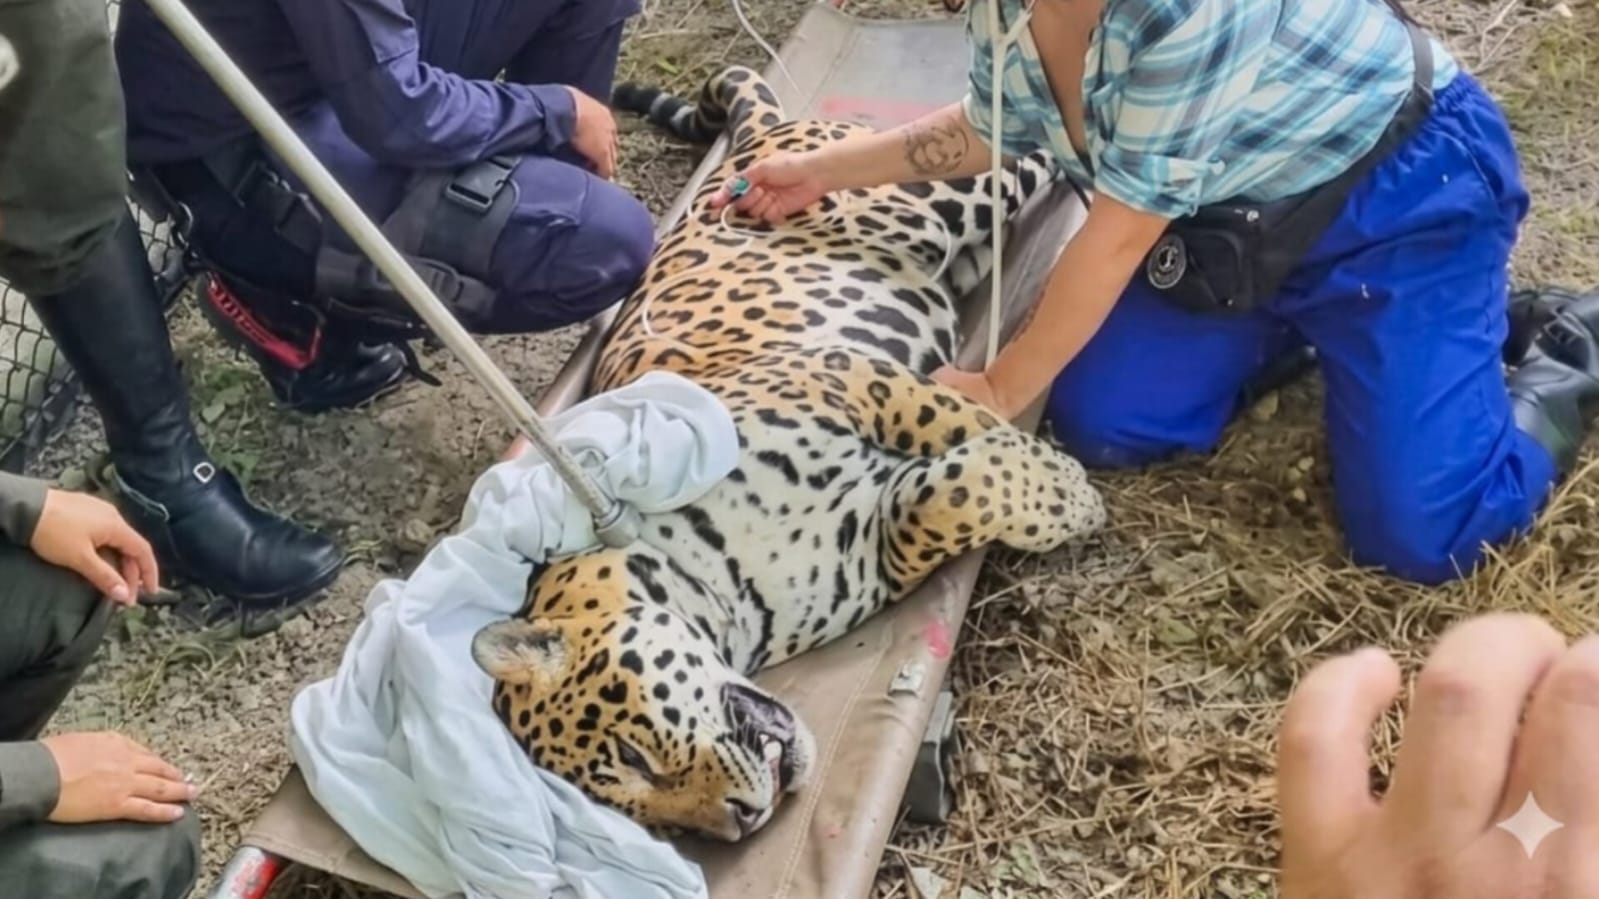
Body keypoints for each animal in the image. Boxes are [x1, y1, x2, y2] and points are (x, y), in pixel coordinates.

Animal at [470, 64, 1106, 843]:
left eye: (634, 757)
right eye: (655, 825)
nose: (741, 823)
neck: (722, 588)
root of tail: (759, 139)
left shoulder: (844, 375)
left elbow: (959, 418)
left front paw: (1066, 490)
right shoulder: (877, 544)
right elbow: (946, 495)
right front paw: (1052, 489)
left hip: (926, 192)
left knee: (1009, 142)